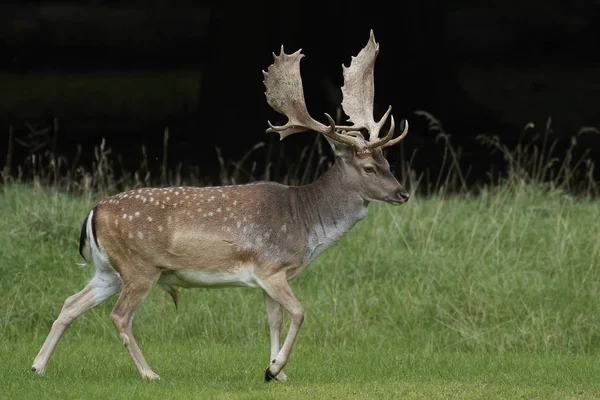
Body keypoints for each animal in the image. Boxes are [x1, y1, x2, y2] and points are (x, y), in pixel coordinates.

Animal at [30, 29, 410, 382]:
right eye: (369, 167)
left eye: (387, 161)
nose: (403, 193)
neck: (304, 222)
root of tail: (93, 213)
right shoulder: (270, 267)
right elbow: (299, 313)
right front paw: (275, 369)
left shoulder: (269, 276)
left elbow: (273, 319)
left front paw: (275, 370)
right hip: (139, 267)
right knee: (119, 316)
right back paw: (150, 373)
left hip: (108, 270)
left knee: (71, 303)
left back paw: (37, 366)